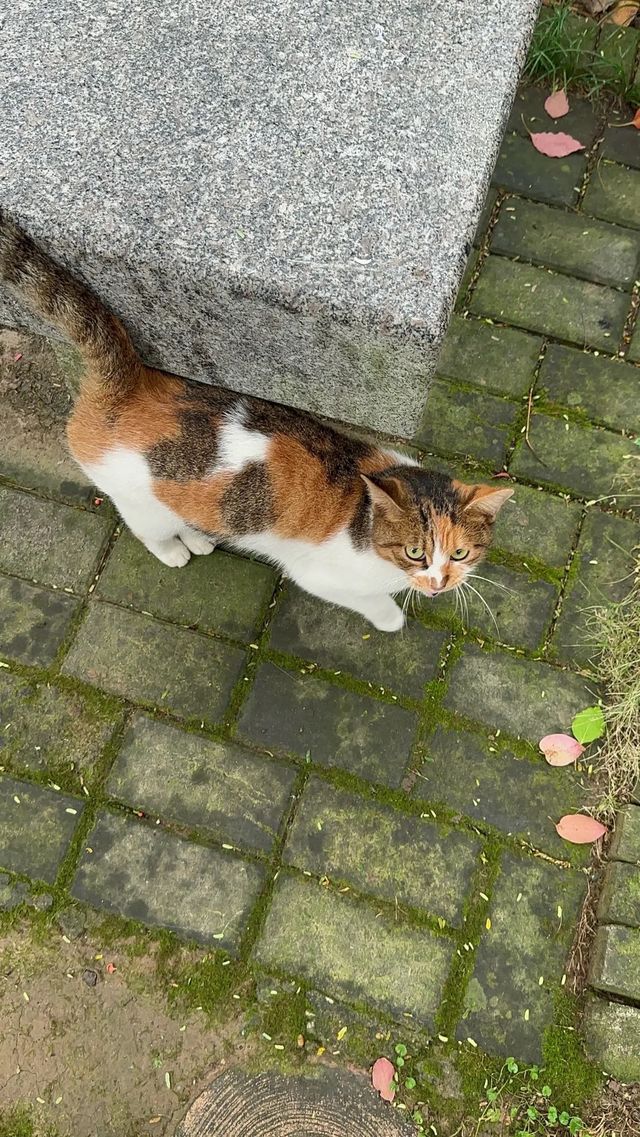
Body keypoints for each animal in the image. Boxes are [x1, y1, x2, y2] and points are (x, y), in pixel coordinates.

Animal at [0, 211, 511, 632]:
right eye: (414, 552)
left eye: (461, 553)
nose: (439, 584)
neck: (365, 521)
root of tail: (127, 383)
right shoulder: (321, 577)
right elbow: (372, 601)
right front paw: (392, 619)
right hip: (137, 500)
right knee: (150, 530)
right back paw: (175, 550)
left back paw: (199, 538)